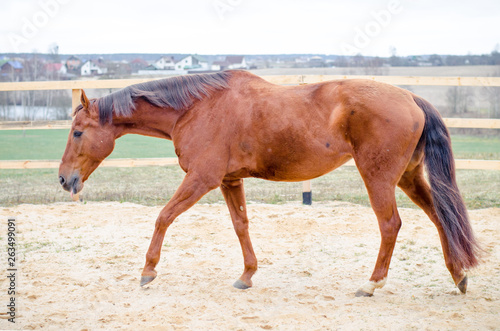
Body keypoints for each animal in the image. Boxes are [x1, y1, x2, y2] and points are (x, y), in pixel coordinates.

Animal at [58, 69, 480, 296]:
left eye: (78, 132)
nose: (64, 179)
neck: (197, 108)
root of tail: (410, 97)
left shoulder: (202, 178)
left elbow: (163, 216)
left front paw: (148, 271)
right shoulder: (228, 181)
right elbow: (241, 225)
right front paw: (247, 275)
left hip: (378, 178)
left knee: (391, 225)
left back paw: (372, 284)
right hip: (409, 177)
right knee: (441, 218)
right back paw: (459, 275)